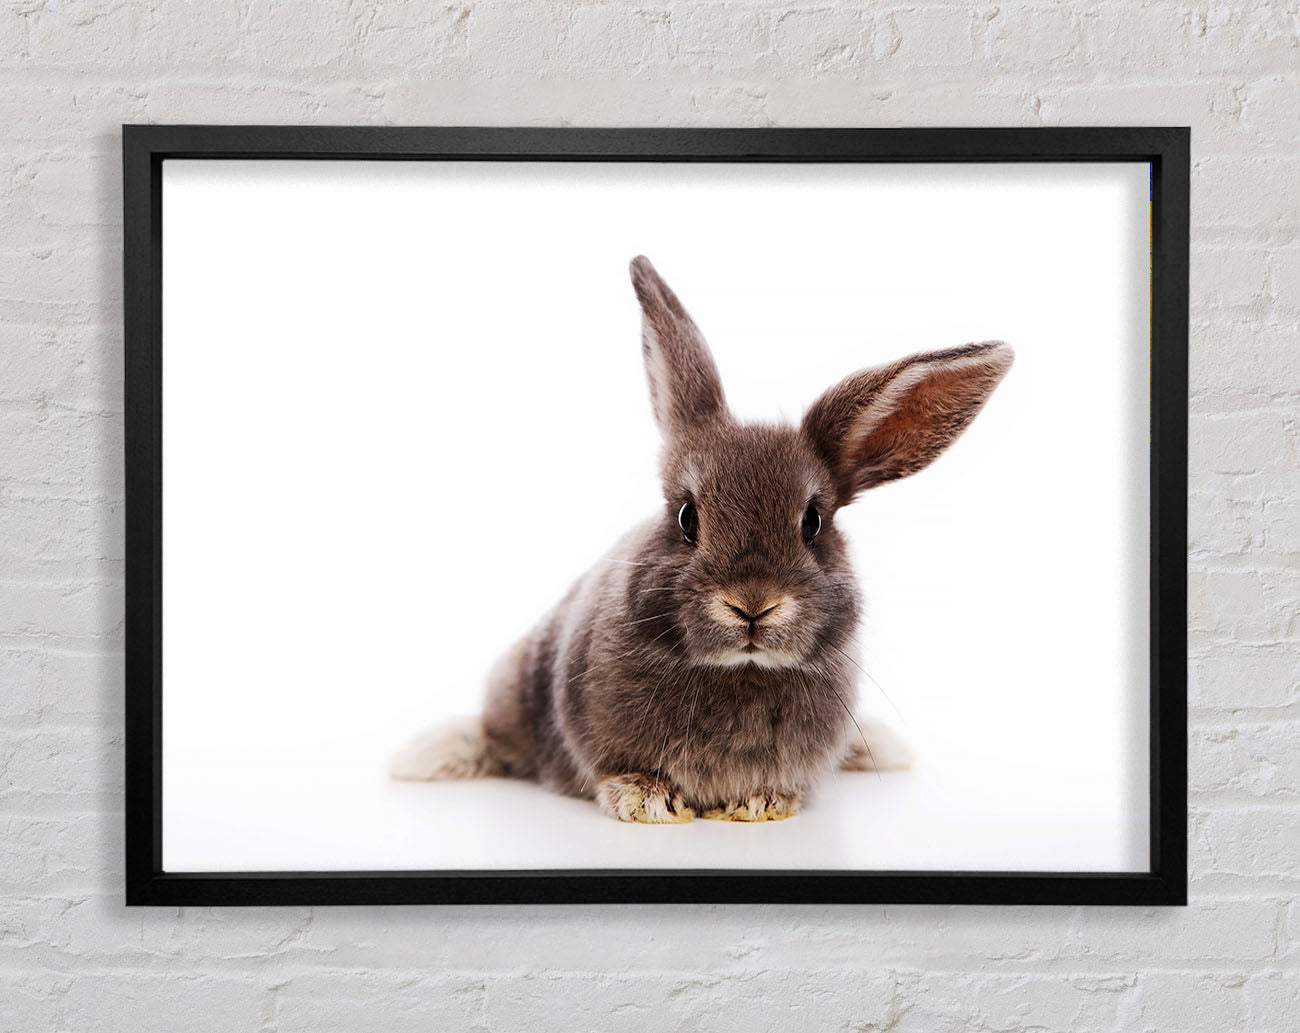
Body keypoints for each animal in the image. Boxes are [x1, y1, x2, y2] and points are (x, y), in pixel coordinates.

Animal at [390, 256, 1013, 823]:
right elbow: (615, 772)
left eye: (813, 522)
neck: (740, 670)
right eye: (688, 517)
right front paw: (646, 801)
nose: (753, 604)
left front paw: (762, 804)